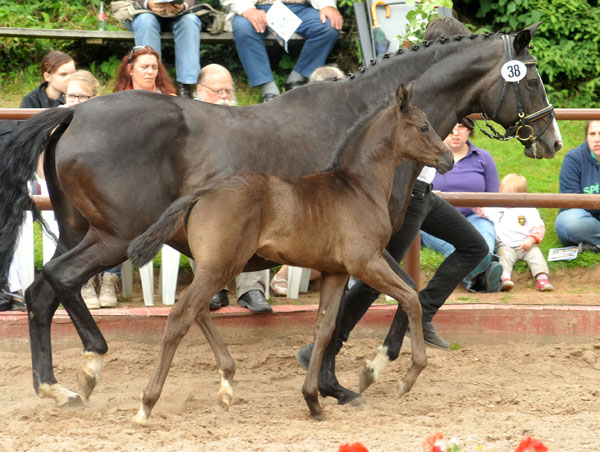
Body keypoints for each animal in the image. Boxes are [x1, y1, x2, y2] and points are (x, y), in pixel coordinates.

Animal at [127, 84, 454, 424]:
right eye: (424, 126)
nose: (448, 158)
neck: (358, 187)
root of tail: (200, 193)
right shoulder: (366, 262)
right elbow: (411, 298)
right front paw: (408, 377)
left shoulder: (337, 272)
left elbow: (325, 328)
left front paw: (313, 400)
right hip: (221, 266)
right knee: (181, 314)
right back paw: (147, 404)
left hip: (215, 266)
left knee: (198, 310)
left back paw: (227, 382)